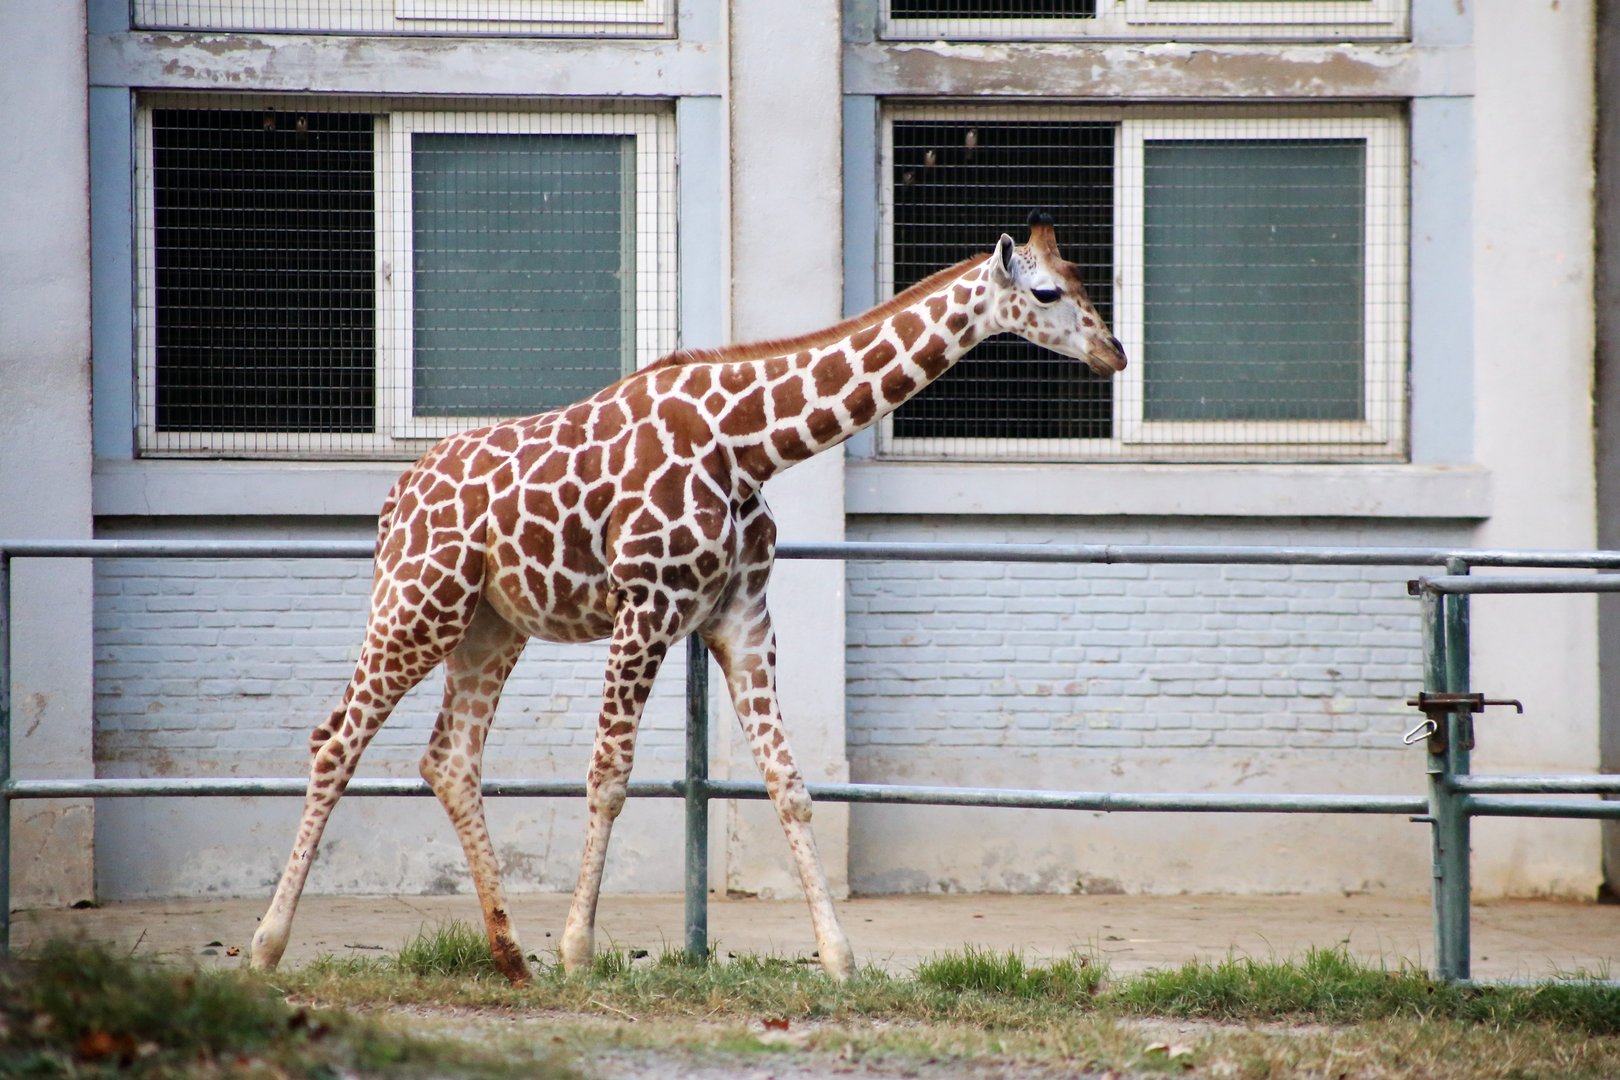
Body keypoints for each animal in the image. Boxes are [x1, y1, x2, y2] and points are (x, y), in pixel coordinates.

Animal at [248, 212, 1125, 985]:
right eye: (1048, 291)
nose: (1112, 351)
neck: (748, 445)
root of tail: (397, 498)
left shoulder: (741, 617)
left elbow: (789, 784)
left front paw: (839, 959)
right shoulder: (644, 608)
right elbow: (608, 775)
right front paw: (580, 951)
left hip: (488, 624)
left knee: (451, 759)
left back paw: (511, 958)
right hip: (417, 602)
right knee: (335, 740)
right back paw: (268, 947)